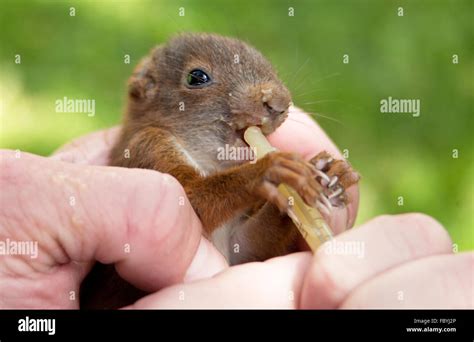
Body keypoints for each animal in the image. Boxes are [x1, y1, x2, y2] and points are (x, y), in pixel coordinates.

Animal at [79, 33, 360, 308]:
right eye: (196, 77)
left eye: (271, 68)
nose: (280, 103)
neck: (212, 161)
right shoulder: (147, 148)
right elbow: (193, 199)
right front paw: (269, 171)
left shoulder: (242, 246)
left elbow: (249, 245)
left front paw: (329, 175)